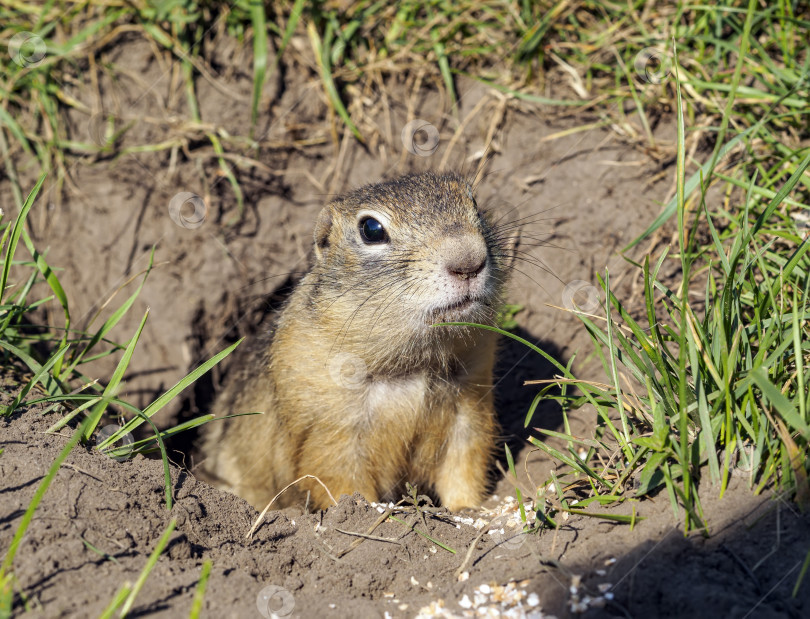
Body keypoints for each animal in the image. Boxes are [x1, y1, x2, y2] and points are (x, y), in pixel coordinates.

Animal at [205, 172, 516, 512]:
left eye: (474, 202)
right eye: (371, 229)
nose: (468, 260)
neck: (415, 365)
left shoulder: (470, 403)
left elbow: (465, 464)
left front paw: (468, 509)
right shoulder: (330, 426)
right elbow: (339, 479)